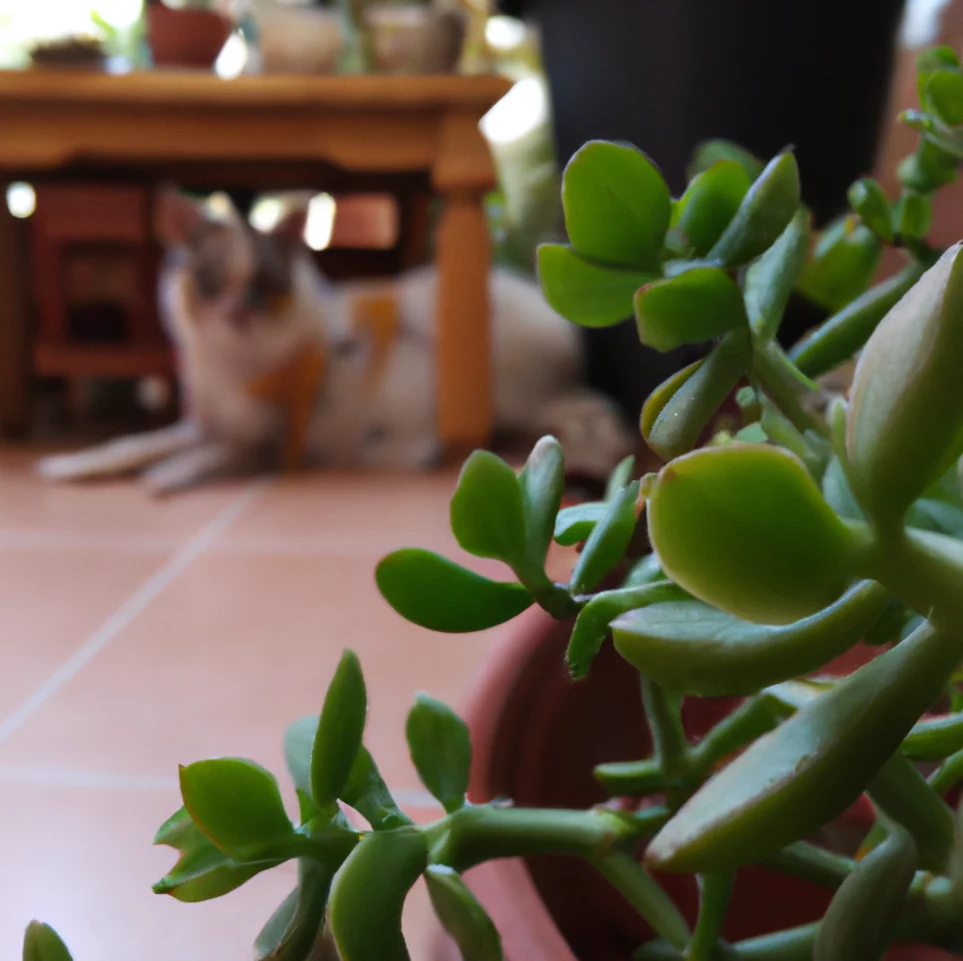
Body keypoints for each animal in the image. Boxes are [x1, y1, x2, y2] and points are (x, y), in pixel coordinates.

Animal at [37, 188, 636, 496]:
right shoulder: (206, 421)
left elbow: (211, 456)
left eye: (266, 285)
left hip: (505, 382)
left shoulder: (263, 439)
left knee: (589, 409)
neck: (233, 362)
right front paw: (75, 466)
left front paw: (169, 476)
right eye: (212, 281)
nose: (239, 313)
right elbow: (138, 442)